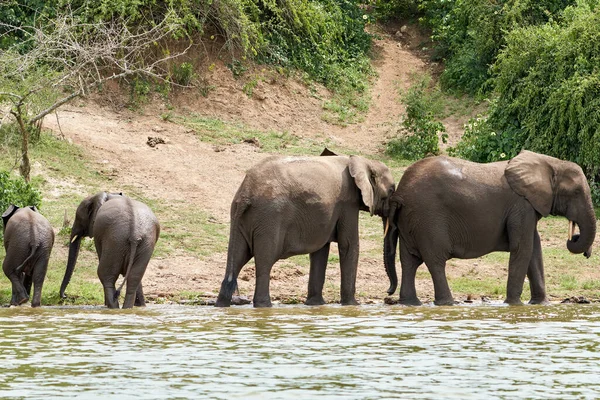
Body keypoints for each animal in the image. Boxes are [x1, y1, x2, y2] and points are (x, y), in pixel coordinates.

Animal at [213, 152, 396, 306]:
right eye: (392, 190)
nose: (388, 293)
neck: (361, 161)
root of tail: (246, 191)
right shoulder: (348, 203)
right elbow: (349, 245)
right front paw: (352, 305)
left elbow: (320, 251)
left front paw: (315, 305)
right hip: (269, 218)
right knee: (265, 261)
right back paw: (264, 306)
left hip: (240, 217)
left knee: (237, 258)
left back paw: (222, 305)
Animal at [384, 151, 596, 306]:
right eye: (576, 192)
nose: (575, 239)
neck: (550, 163)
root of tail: (401, 192)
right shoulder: (522, 206)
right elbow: (523, 249)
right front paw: (514, 305)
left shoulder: (527, 208)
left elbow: (535, 250)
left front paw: (540, 305)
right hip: (428, 218)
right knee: (435, 261)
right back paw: (448, 303)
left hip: (411, 220)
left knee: (409, 261)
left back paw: (411, 304)